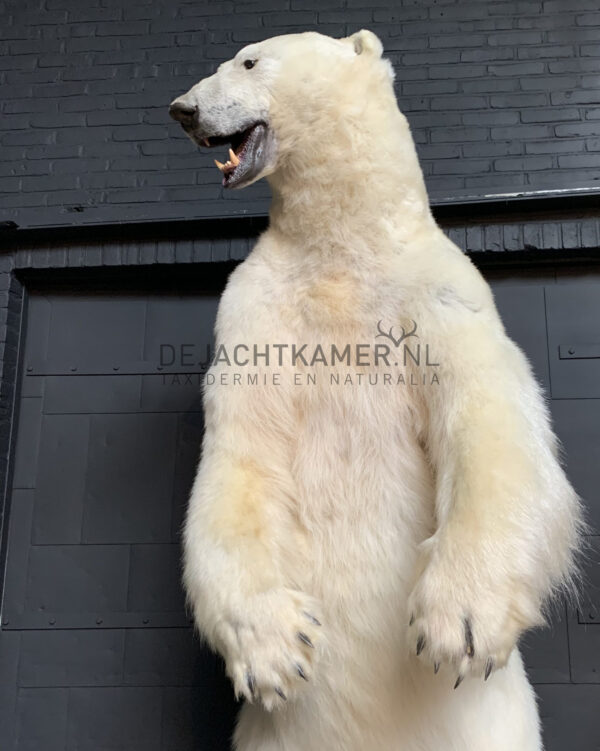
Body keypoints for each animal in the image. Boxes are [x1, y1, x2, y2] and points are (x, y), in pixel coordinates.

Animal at [169, 29, 580, 751]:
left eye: (248, 59)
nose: (183, 109)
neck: (338, 243)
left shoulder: (437, 288)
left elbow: (488, 419)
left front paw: (458, 623)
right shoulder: (254, 306)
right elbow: (243, 452)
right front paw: (277, 646)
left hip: (493, 728)